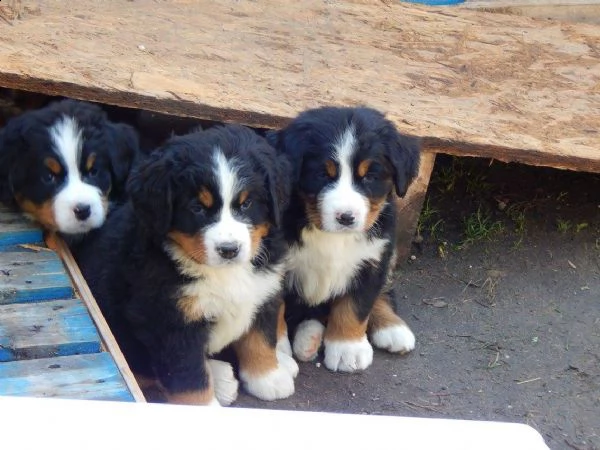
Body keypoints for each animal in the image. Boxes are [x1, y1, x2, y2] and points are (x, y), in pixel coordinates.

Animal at [77, 125, 298, 406]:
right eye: (197, 208)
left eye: (246, 203)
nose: (229, 250)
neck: (221, 273)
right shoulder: (170, 321)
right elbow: (189, 376)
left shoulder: (262, 291)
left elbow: (260, 337)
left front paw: (267, 377)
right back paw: (222, 380)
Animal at [270, 105, 420, 372]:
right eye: (322, 174)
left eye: (369, 177)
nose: (346, 217)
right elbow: (275, 310)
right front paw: (278, 350)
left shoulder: (372, 260)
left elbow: (356, 305)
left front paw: (347, 349)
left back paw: (393, 328)